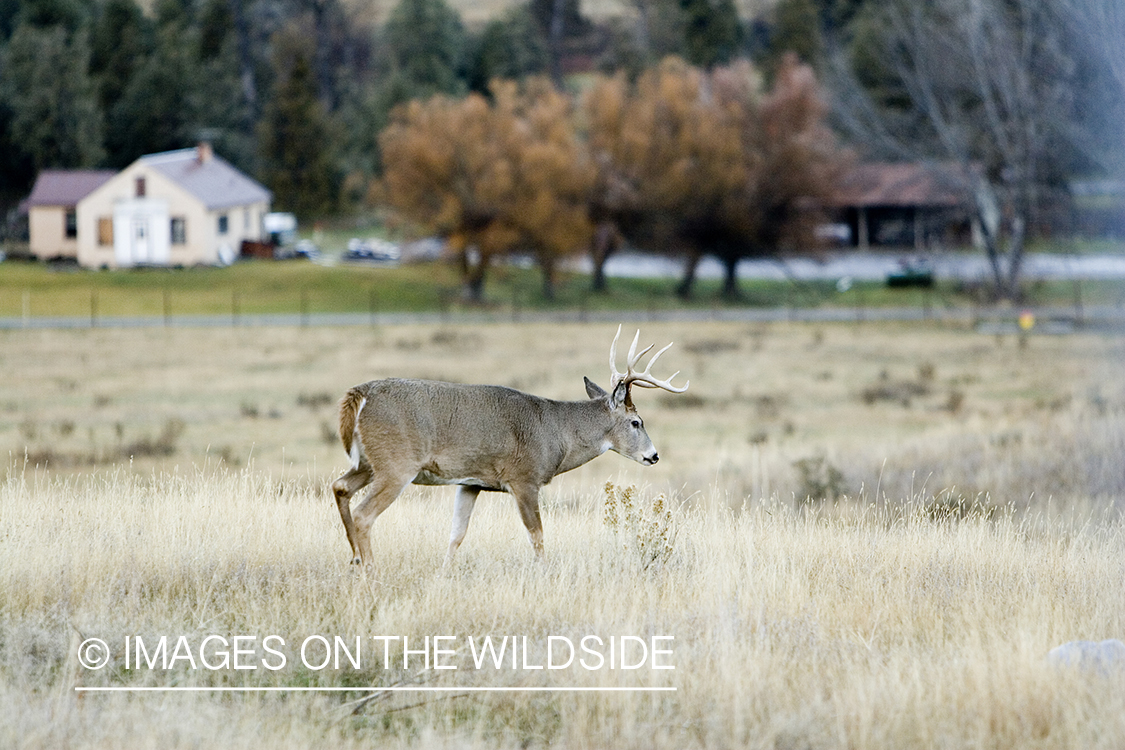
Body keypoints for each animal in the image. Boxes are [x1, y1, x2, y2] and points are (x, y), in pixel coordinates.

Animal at [328, 326, 688, 566]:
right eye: (636, 422)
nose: (654, 455)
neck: (556, 432)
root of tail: (358, 395)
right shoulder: (524, 478)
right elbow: (537, 535)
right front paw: (543, 572)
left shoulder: (470, 482)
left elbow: (456, 535)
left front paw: (445, 572)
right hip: (397, 463)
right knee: (363, 514)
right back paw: (370, 569)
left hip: (368, 462)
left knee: (340, 487)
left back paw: (354, 559)